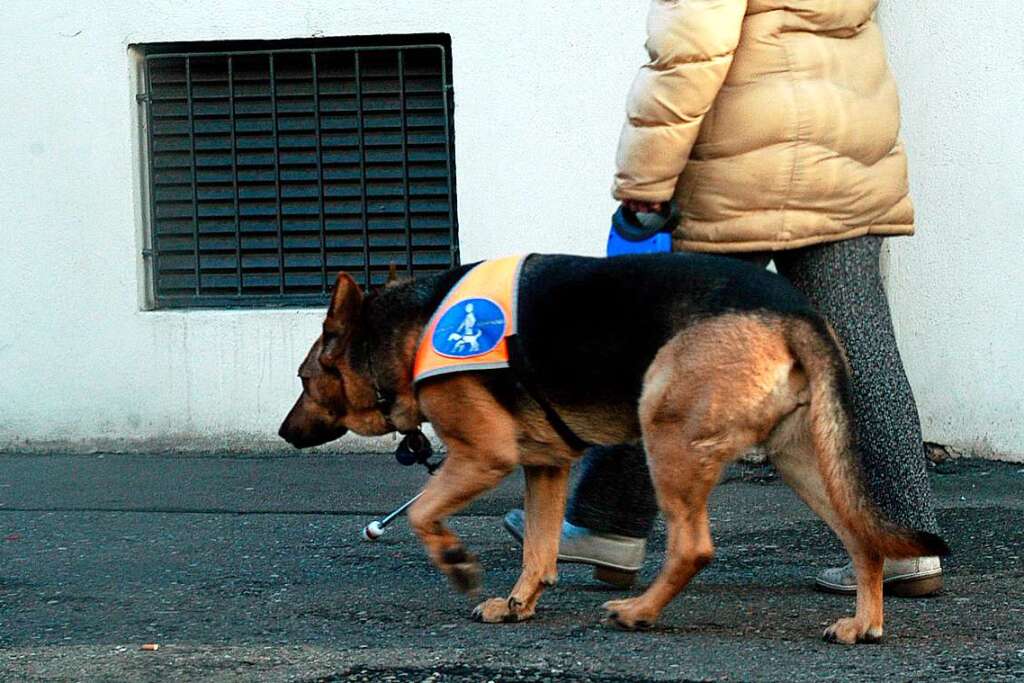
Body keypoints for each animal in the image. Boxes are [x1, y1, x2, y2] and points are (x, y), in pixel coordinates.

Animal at [276, 253, 946, 643]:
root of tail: (791, 312)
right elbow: (539, 550)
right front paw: (518, 604)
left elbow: (421, 512)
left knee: (693, 547)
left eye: (305, 379)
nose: (285, 432)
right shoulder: (546, 467)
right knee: (862, 536)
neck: (404, 328)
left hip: (665, 433)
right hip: (800, 459)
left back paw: (640, 611)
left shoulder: (484, 456)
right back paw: (865, 622)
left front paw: (456, 562)